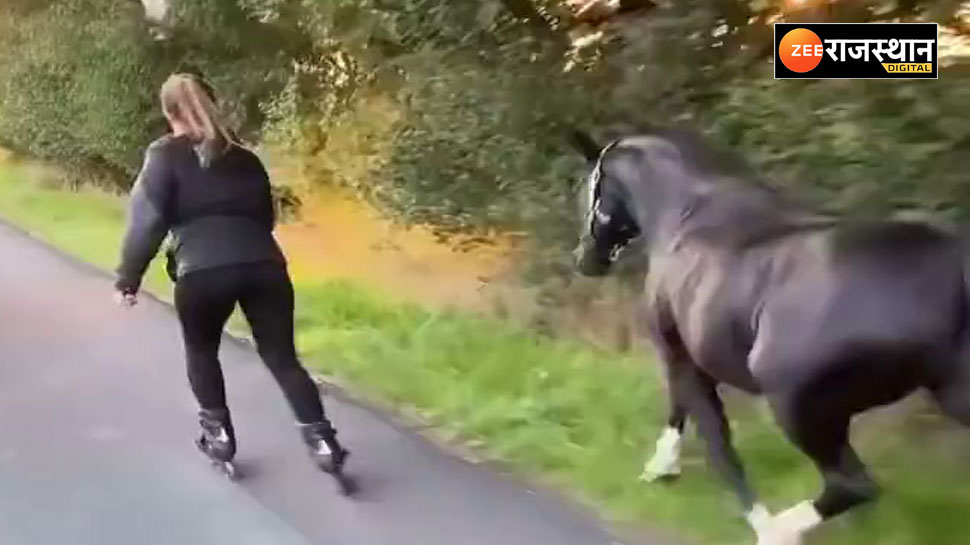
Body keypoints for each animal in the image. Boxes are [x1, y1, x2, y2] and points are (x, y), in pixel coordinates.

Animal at [568, 126, 970, 545]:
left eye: (587, 188)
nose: (584, 259)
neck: (685, 211)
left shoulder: (678, 353)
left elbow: (716, 442)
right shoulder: (691, 358)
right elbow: (686, 415)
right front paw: (662, 469)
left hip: (797, 406)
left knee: (852, 484)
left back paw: (778, 531)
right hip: (953, 396)